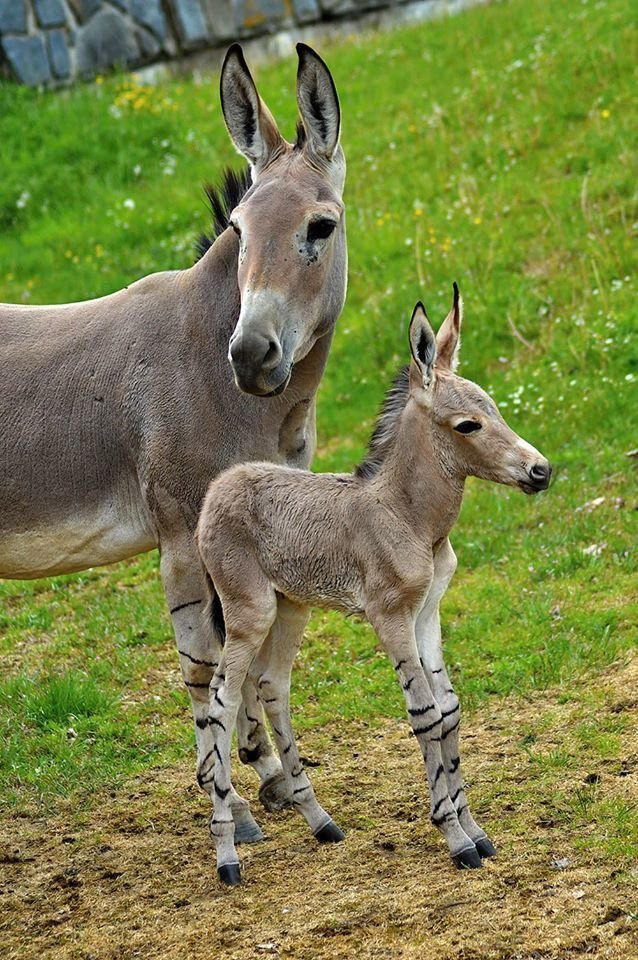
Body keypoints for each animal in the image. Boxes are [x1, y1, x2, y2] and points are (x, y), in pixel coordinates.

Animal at [198, 284, 552, 884]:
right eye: (468, 425)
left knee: (272, 687)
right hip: (249, 612)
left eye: (496, 409)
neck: (409, 517)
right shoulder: (391, 619)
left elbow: (449, 708)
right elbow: (425, 714)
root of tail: (218, 488)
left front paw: (476, 830)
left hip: (292, 607)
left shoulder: (428, 613)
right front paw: (455, 837)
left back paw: (321, 822)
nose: (541, 472)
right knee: (222, 700)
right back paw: (227, 854)